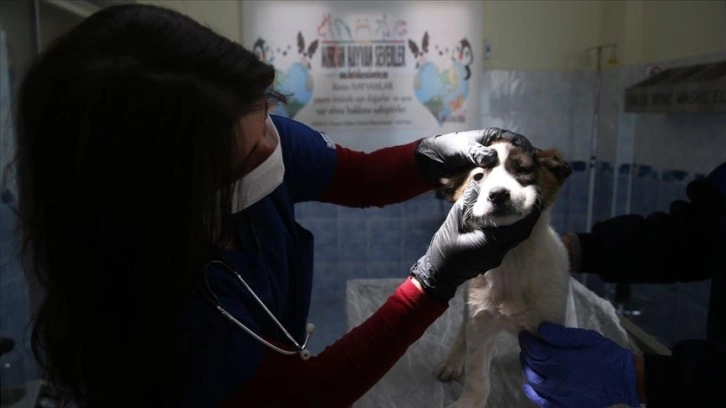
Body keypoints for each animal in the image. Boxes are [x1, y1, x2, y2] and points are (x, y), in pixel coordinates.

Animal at [434, 139, 573, 408]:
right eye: (478, 176)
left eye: (522, 169)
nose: (498, 194)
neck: (512, 259)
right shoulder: (480, 323)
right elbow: (477, 377)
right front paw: (470, 401)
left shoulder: (552, 329)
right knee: (462, 332)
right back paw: (452, 361)